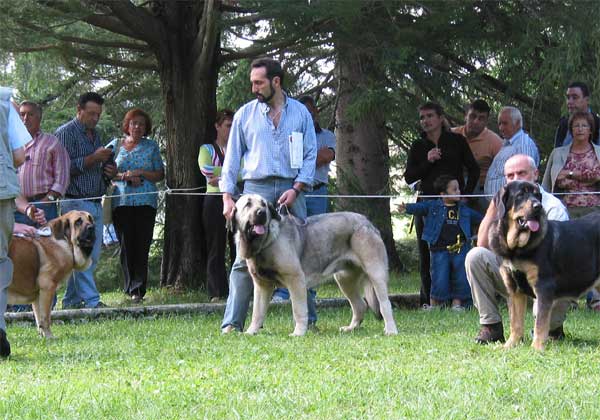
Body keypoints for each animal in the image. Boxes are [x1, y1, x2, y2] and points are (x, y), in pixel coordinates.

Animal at [6, 210, 95, 338]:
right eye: (78, 222)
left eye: (90, 219)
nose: (92, 227)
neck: (64, 242)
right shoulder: (48, 288)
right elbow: (46, 317)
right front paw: (49, 337)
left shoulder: (38, 295)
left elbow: (38, 318)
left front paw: (42, 336)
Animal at [230, 194, 398, 338]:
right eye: (248, 204)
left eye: (264, 204)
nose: (262, 212)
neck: (264, 243)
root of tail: (367, 222)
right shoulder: (262, 285)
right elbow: (257, 312)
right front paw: (251, 331)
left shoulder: (295, 280)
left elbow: (298, 309)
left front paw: (298, 333)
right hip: (345, 279)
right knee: (360, 305)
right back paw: (351, 328)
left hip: (376, 274)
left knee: (385, 304)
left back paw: (390, 330)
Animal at [490, 182, 600, 350]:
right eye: (520, 195)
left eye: (537, 195)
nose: (538, 206)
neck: (516, 249)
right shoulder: (514, 290)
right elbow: (515, 322)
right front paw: (510, 345)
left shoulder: (543, 287)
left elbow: (540, 323)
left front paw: (536, 348)